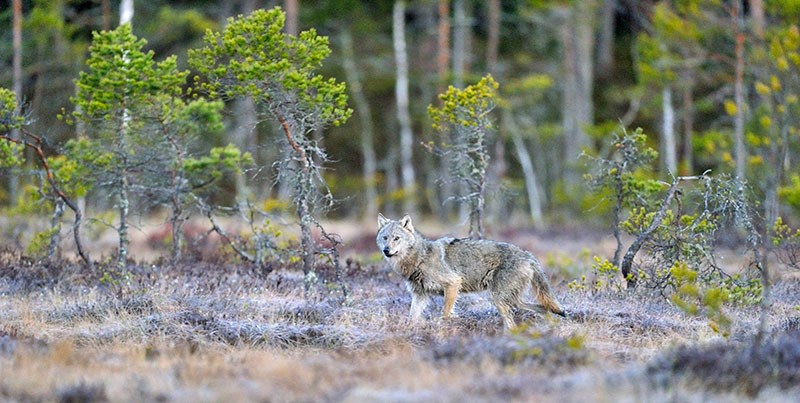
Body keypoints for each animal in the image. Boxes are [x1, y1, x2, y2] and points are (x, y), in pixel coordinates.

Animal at [378, 213, 564, 330]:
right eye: (385, 238)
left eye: (397, 238)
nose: (386, 251)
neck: (419, 258)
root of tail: (528, 255)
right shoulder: (420, 295)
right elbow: (412, 318)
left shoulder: (453, 283)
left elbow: (446, 313)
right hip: (511, 300)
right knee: (542, 308)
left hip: (498, 298)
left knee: (513, 323)